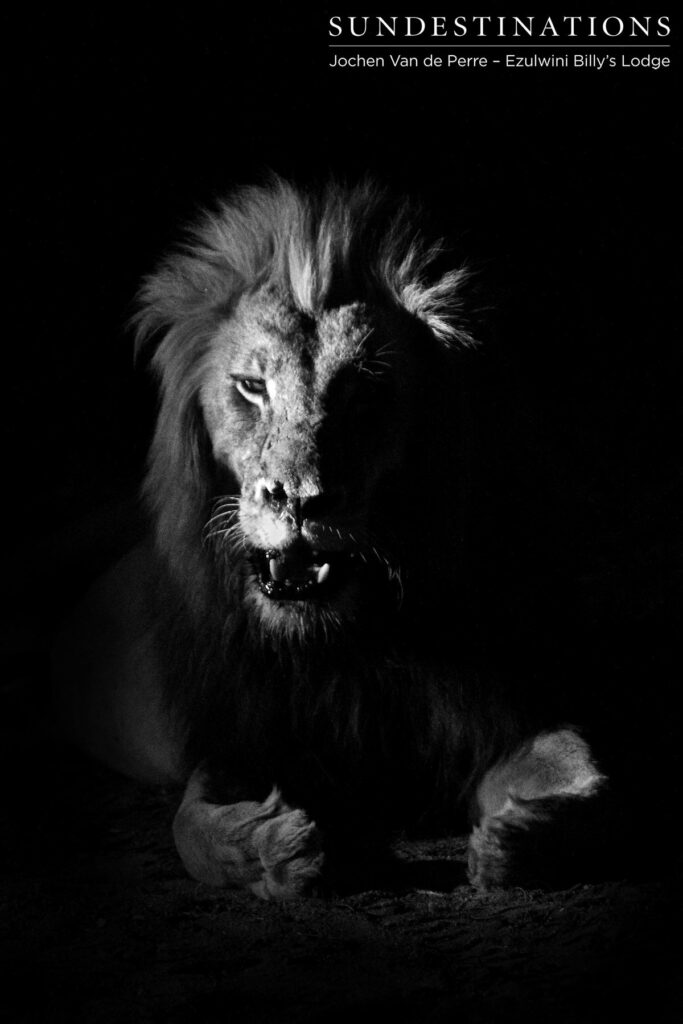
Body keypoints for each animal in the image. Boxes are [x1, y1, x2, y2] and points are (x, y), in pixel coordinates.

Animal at [53, 178, 605, 898]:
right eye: (251, 387)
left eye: (362, 395)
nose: (297, 498)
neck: (341, 645)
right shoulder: (241, 738)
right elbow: (190, 830)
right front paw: (273, 851)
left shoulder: (490, 716)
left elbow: (589, 779)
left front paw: (520, 839)